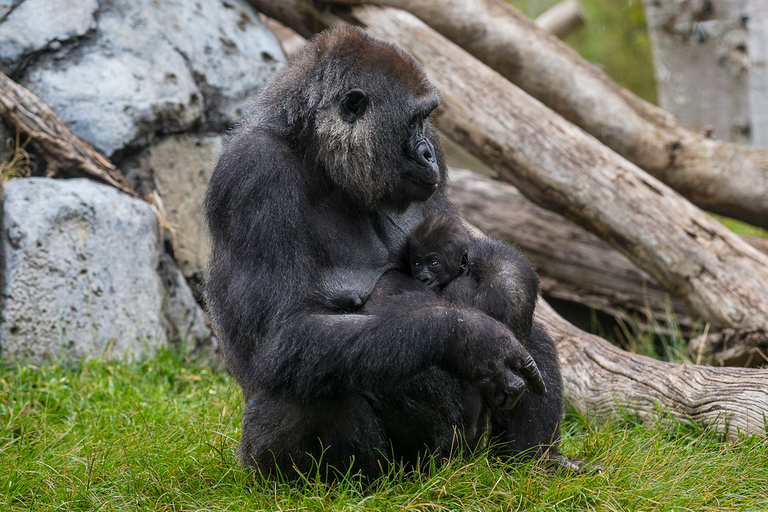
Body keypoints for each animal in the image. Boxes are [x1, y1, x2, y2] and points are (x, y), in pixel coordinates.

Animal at [204, 25, 576, 480]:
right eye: (413, 120)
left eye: (426, 121)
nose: (427, 151)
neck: (318, 156)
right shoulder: (253, 174)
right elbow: (285, 333)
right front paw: (473, 339)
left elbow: (474, 251)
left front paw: (509, 292)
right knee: (304, 384)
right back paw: (345, 485)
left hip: (468, 451)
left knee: (534, 336)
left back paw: (537, 463)